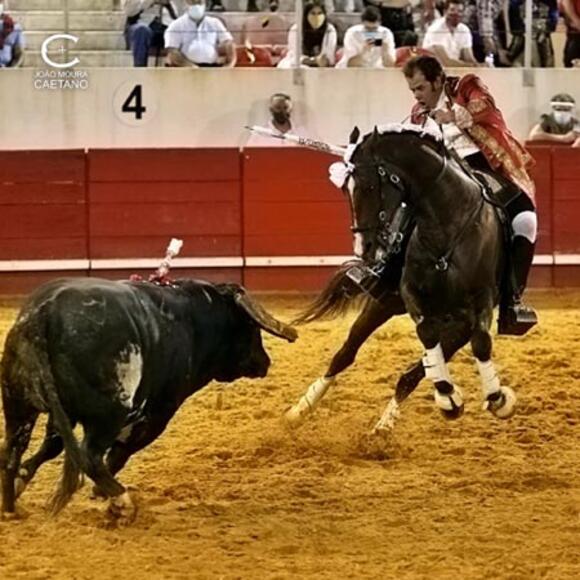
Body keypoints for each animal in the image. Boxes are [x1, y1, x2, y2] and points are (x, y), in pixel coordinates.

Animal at [0, 278, 296, 520]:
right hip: (110, 412)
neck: (192, 321)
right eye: (251, 327)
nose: (264, 362)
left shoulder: (65, 413)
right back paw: (123, 503)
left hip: (18, 406)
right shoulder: (157, 413)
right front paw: (101, 493)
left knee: (13, 450)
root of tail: (45, 312)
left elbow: (52, 446)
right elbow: (120, 451)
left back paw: (11, 508)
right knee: (90, 454)